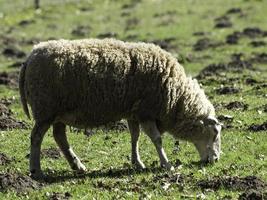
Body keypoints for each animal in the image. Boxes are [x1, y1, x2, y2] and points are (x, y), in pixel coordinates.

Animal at [19, 38, 223, 179]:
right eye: (214, 133)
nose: (215, 160)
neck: (176, 97)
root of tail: (31, 56)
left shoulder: (134, 112)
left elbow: (135, 137)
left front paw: (137, 163)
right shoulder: (146, 111)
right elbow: (157, 139)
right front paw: (166, 164)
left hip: (58, 111)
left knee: (59, 137)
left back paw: (78, 166)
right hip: (45, 109)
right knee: (36, 137)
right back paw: (36, 171)